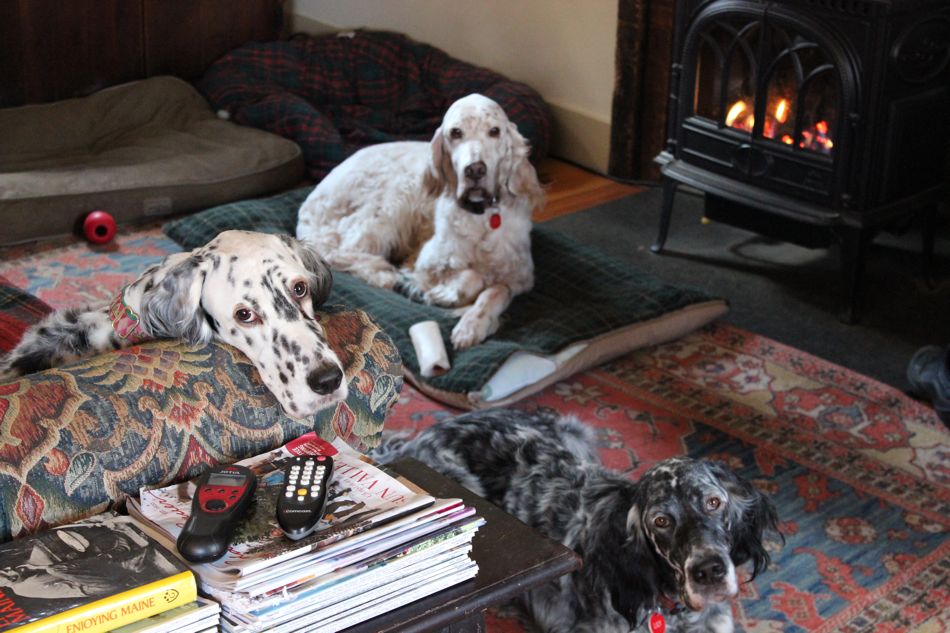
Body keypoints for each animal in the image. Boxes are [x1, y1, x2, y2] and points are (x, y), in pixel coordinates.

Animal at [295, 93, 544, 349]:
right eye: (456, 132)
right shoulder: (425, 262)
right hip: (392, 202)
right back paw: (385, 276)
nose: (475, 170)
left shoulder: (521, 275)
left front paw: (472, 325)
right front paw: (444, 295)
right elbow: (472, 276)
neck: (480, 216)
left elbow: (496, 291)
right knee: (347, 251)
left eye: (495, 131)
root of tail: (308, 205)